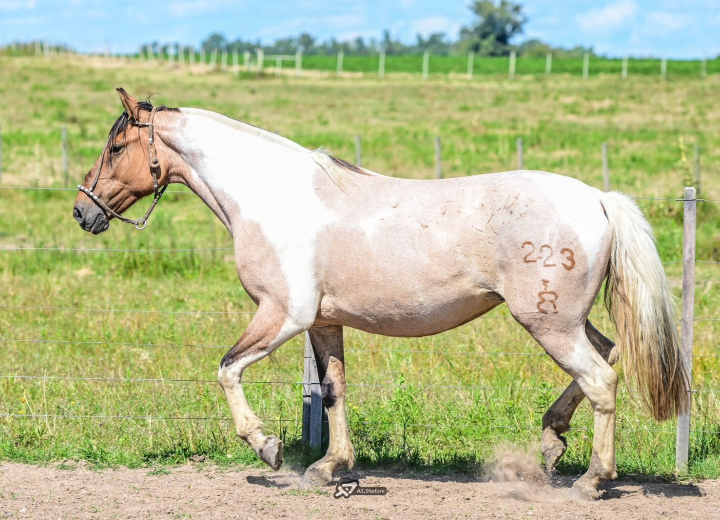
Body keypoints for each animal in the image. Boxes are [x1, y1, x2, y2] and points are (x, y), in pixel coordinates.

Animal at [74, 89, 692, 500]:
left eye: (115, 146)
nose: (84, 211)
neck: (269, 198)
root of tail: (598, 198)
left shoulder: (283, 314)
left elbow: (227, 369)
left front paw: (268, 448)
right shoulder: (323, 322)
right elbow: (333, 392)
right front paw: (330, 468)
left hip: (549, 324)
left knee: (602, 379)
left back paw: (592, 480)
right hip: (564, 320)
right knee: (607, 355)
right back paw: (552, 441)